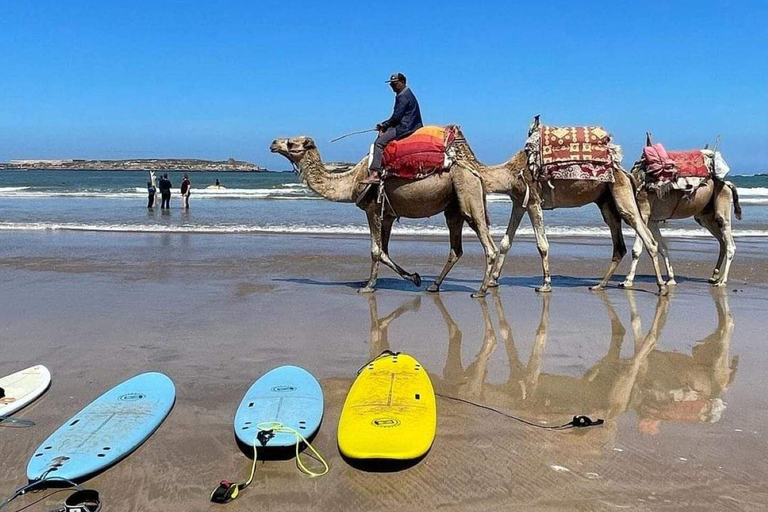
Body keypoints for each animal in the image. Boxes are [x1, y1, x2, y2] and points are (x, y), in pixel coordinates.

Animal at [270, 134, 498, 298]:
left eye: (291, 142)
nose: (273, 143)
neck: (352, 180)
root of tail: (476, 171)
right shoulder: (387, 215)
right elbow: (384, 252)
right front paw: (415, 278)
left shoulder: (372, 209)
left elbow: (375, 250)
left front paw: (368, 287)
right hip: (453, 207)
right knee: (455, 249)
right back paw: (433, 286)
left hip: (469, 195)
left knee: (489, 246)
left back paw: (480, 291)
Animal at [448, 122, 668, 294]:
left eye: (449, 135)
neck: (508, 175)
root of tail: (625, 172)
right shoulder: (519, 202)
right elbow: (505, 242)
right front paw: (493, 280)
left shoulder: (533, 200)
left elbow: (542, 244)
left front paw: (545, 284)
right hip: (606, 201)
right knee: (619, 244)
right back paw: (600, 285)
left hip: (621, 193)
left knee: (646, 236)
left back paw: (661, 287)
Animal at [620, 144, 740, 288]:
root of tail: (727, 184)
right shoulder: (652, 220)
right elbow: (662, 247)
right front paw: (671, 279)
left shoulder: (643, 213)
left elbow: (636, 249)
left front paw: (627, 280)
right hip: (705, 217)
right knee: (722, 241)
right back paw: (714, 276)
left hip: (723, 204)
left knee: (730, 245)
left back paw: (722, 281)